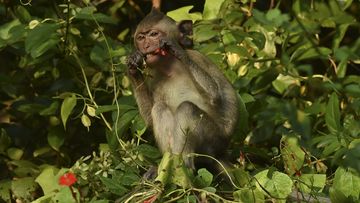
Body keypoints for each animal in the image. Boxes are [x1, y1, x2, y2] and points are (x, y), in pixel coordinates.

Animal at [126, 1, 239, 173]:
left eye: (153, 34)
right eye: (141, 37)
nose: (145, 45)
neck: (170, 67)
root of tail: (221, 152)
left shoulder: (197, 58)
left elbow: (215, 95)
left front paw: (177, 50)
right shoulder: (154, 78)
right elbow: (150, 121)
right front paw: (133, 66)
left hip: (214, 141)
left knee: (187, 108)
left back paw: (183, 164)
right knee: (160, 108)